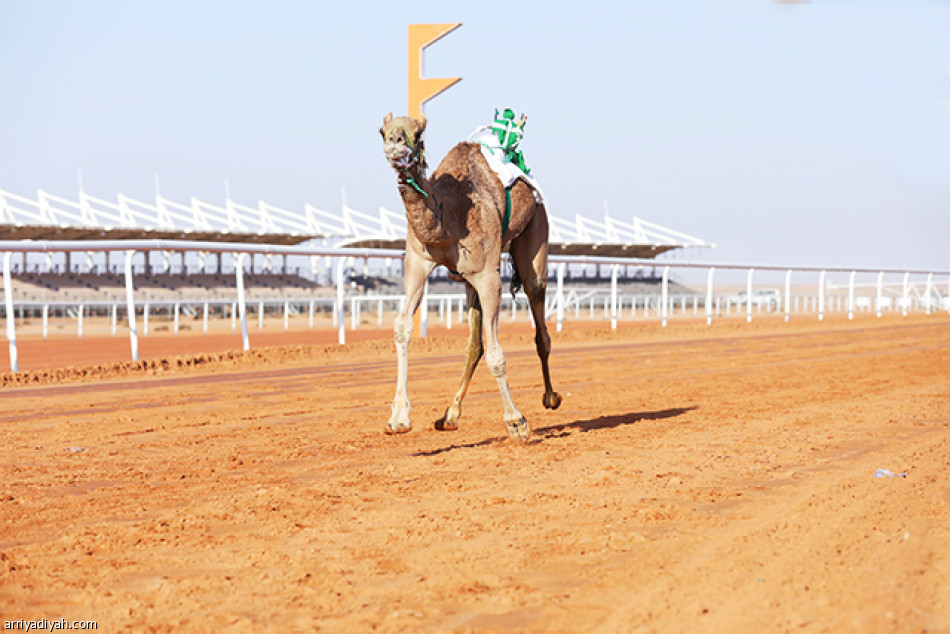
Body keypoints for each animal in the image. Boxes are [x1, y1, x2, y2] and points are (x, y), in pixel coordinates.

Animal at [380, 112, 560, 440]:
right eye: (381, 131)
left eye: (418, 134)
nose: (396, 144)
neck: (448, 217)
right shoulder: (417, 264)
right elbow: (402, 328)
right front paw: (398, 417)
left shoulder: (488, 276)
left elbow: (497, 354)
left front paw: (516, 421)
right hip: (468, 283)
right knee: (475, 345)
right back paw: (449, 415)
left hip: (536, 232)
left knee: (539, 320)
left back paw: (551, 397)